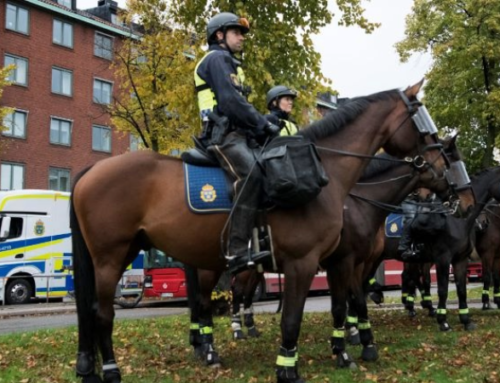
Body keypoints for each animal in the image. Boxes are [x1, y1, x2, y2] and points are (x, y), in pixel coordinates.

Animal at [70, 81, 472, 383]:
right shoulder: (307, 262)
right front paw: (291, 369)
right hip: (112, 257)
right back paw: (114, 368)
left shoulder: (339, 261)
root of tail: (91, 170)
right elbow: (296, 316)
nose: (463, 199)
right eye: (422, 121)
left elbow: (341, 306)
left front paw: (344, 352)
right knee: (103, 312)